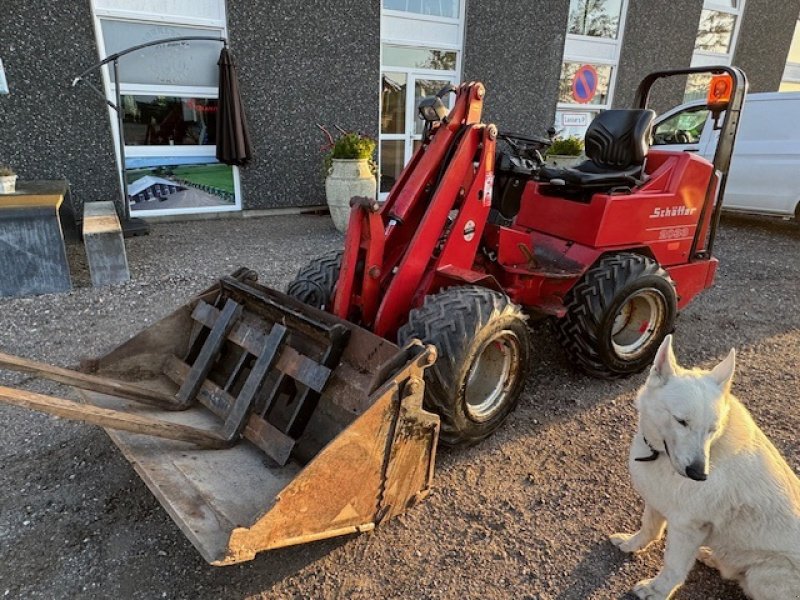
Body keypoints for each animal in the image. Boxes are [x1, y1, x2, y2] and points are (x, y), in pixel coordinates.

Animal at [612, 336, 800, 600]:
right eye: (681, 421)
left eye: (712, 429)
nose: (699, 474)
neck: (659, 456)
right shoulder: (657, 501)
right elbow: (649, 528)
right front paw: (632, 544)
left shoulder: (687, 527)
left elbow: (673, 567)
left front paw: (656, 591)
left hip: (764, 575)